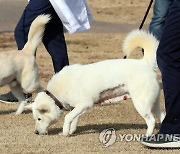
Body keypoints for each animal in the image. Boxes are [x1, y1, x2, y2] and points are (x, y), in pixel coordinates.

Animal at [28, 29, 165, 136]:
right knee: (162, 116)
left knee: (151, 121)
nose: (36, 132)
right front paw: (71, 131)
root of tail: (144, 63)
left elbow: (68, 117)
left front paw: (65, 132)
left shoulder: (85, 103)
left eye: (39, 119)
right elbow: (74, 118)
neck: (56, 93)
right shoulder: (78, 107)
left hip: (141, 104)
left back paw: (148, 135)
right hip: (153, 103)